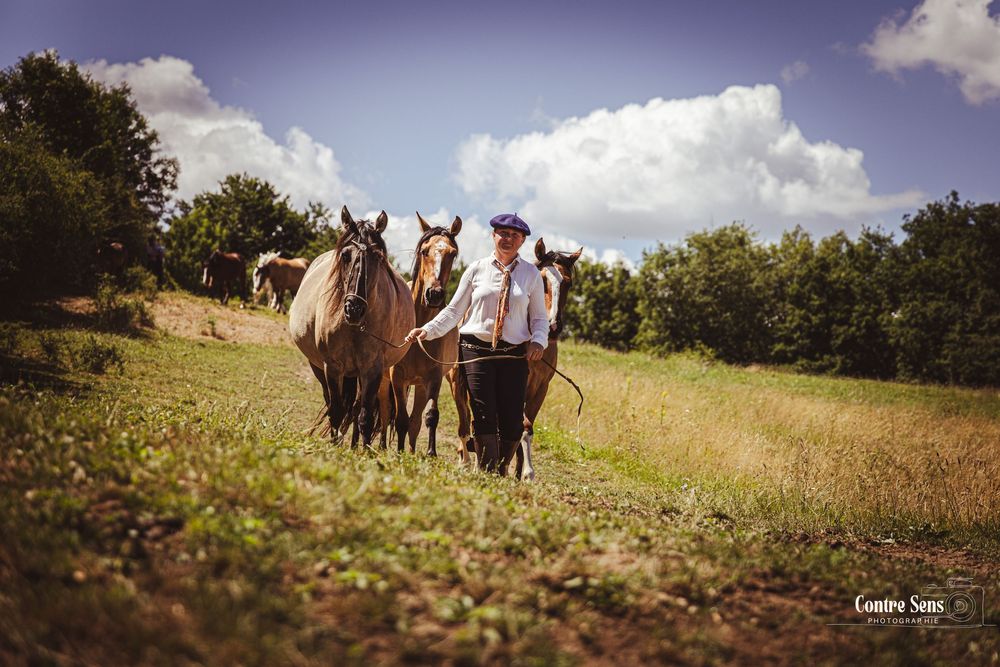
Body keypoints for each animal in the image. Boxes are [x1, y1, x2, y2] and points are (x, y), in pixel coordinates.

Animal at [288, 206, 415, 447]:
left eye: (377, 257)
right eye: (345, 255)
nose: (354, 309)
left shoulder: (372, 370)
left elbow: (365, 415)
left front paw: (365, 449)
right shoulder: (332, 367)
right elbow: (336, 411)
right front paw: (334, 444)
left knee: (357, 409)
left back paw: (356, 445)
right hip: (319, 367)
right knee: (332, 403)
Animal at [389, 212, 462, 456]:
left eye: (453, 253)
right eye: (424, 251)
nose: (434, 294)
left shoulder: (433, 378)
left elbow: (430, 416)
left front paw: (431, 453)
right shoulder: (396, 376)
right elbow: (399, 418)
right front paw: (398, 452)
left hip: (420, 386)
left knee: (415, 421)